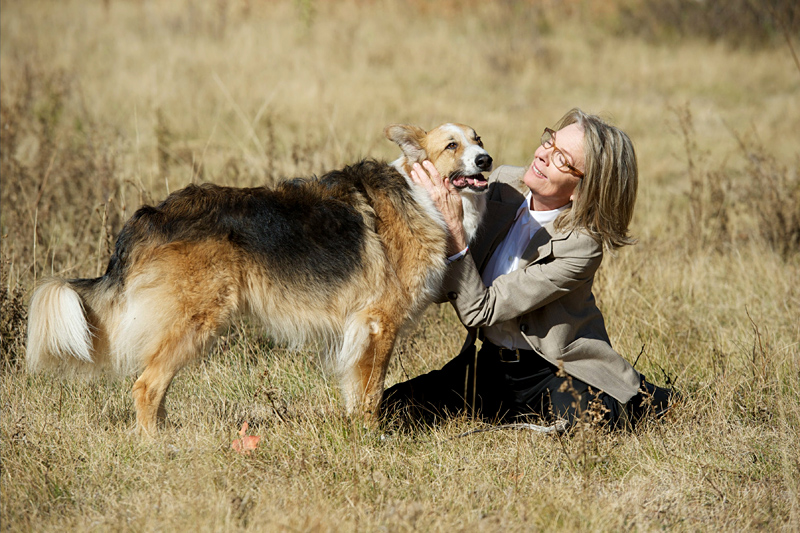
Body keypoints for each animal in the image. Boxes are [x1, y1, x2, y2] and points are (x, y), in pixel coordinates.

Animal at [26, 122, 494, 434]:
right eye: (452, 145)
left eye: (479, 139)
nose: (486, 160)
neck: (423, 194)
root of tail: (150, 216)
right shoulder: (379, 324)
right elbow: (371, 391)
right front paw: (371, 438)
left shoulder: (360, 329)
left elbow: (355, 388)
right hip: (196, 319)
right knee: (145, 386)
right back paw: (154, 446)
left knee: (154, 385)